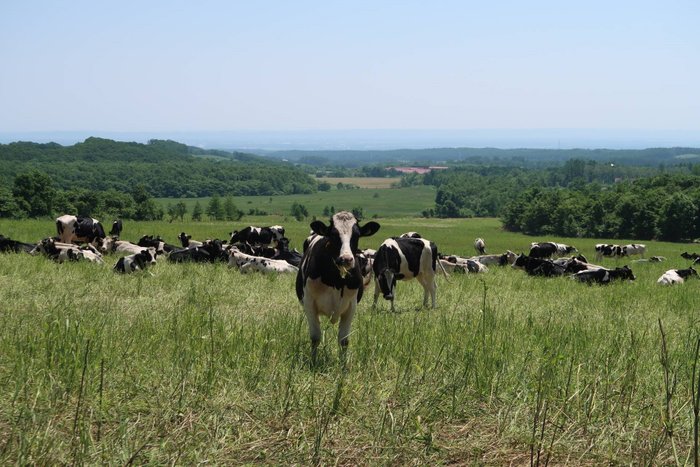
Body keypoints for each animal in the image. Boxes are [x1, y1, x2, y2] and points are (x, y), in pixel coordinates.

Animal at [296, 212, 382, 362]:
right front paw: (313, 362)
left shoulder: (351, 306)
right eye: (333, 234)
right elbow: (315, 337)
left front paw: (342, 364)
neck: (336, 280)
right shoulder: (309, 303)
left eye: (357, 235)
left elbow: (344, 340)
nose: (346, 259)